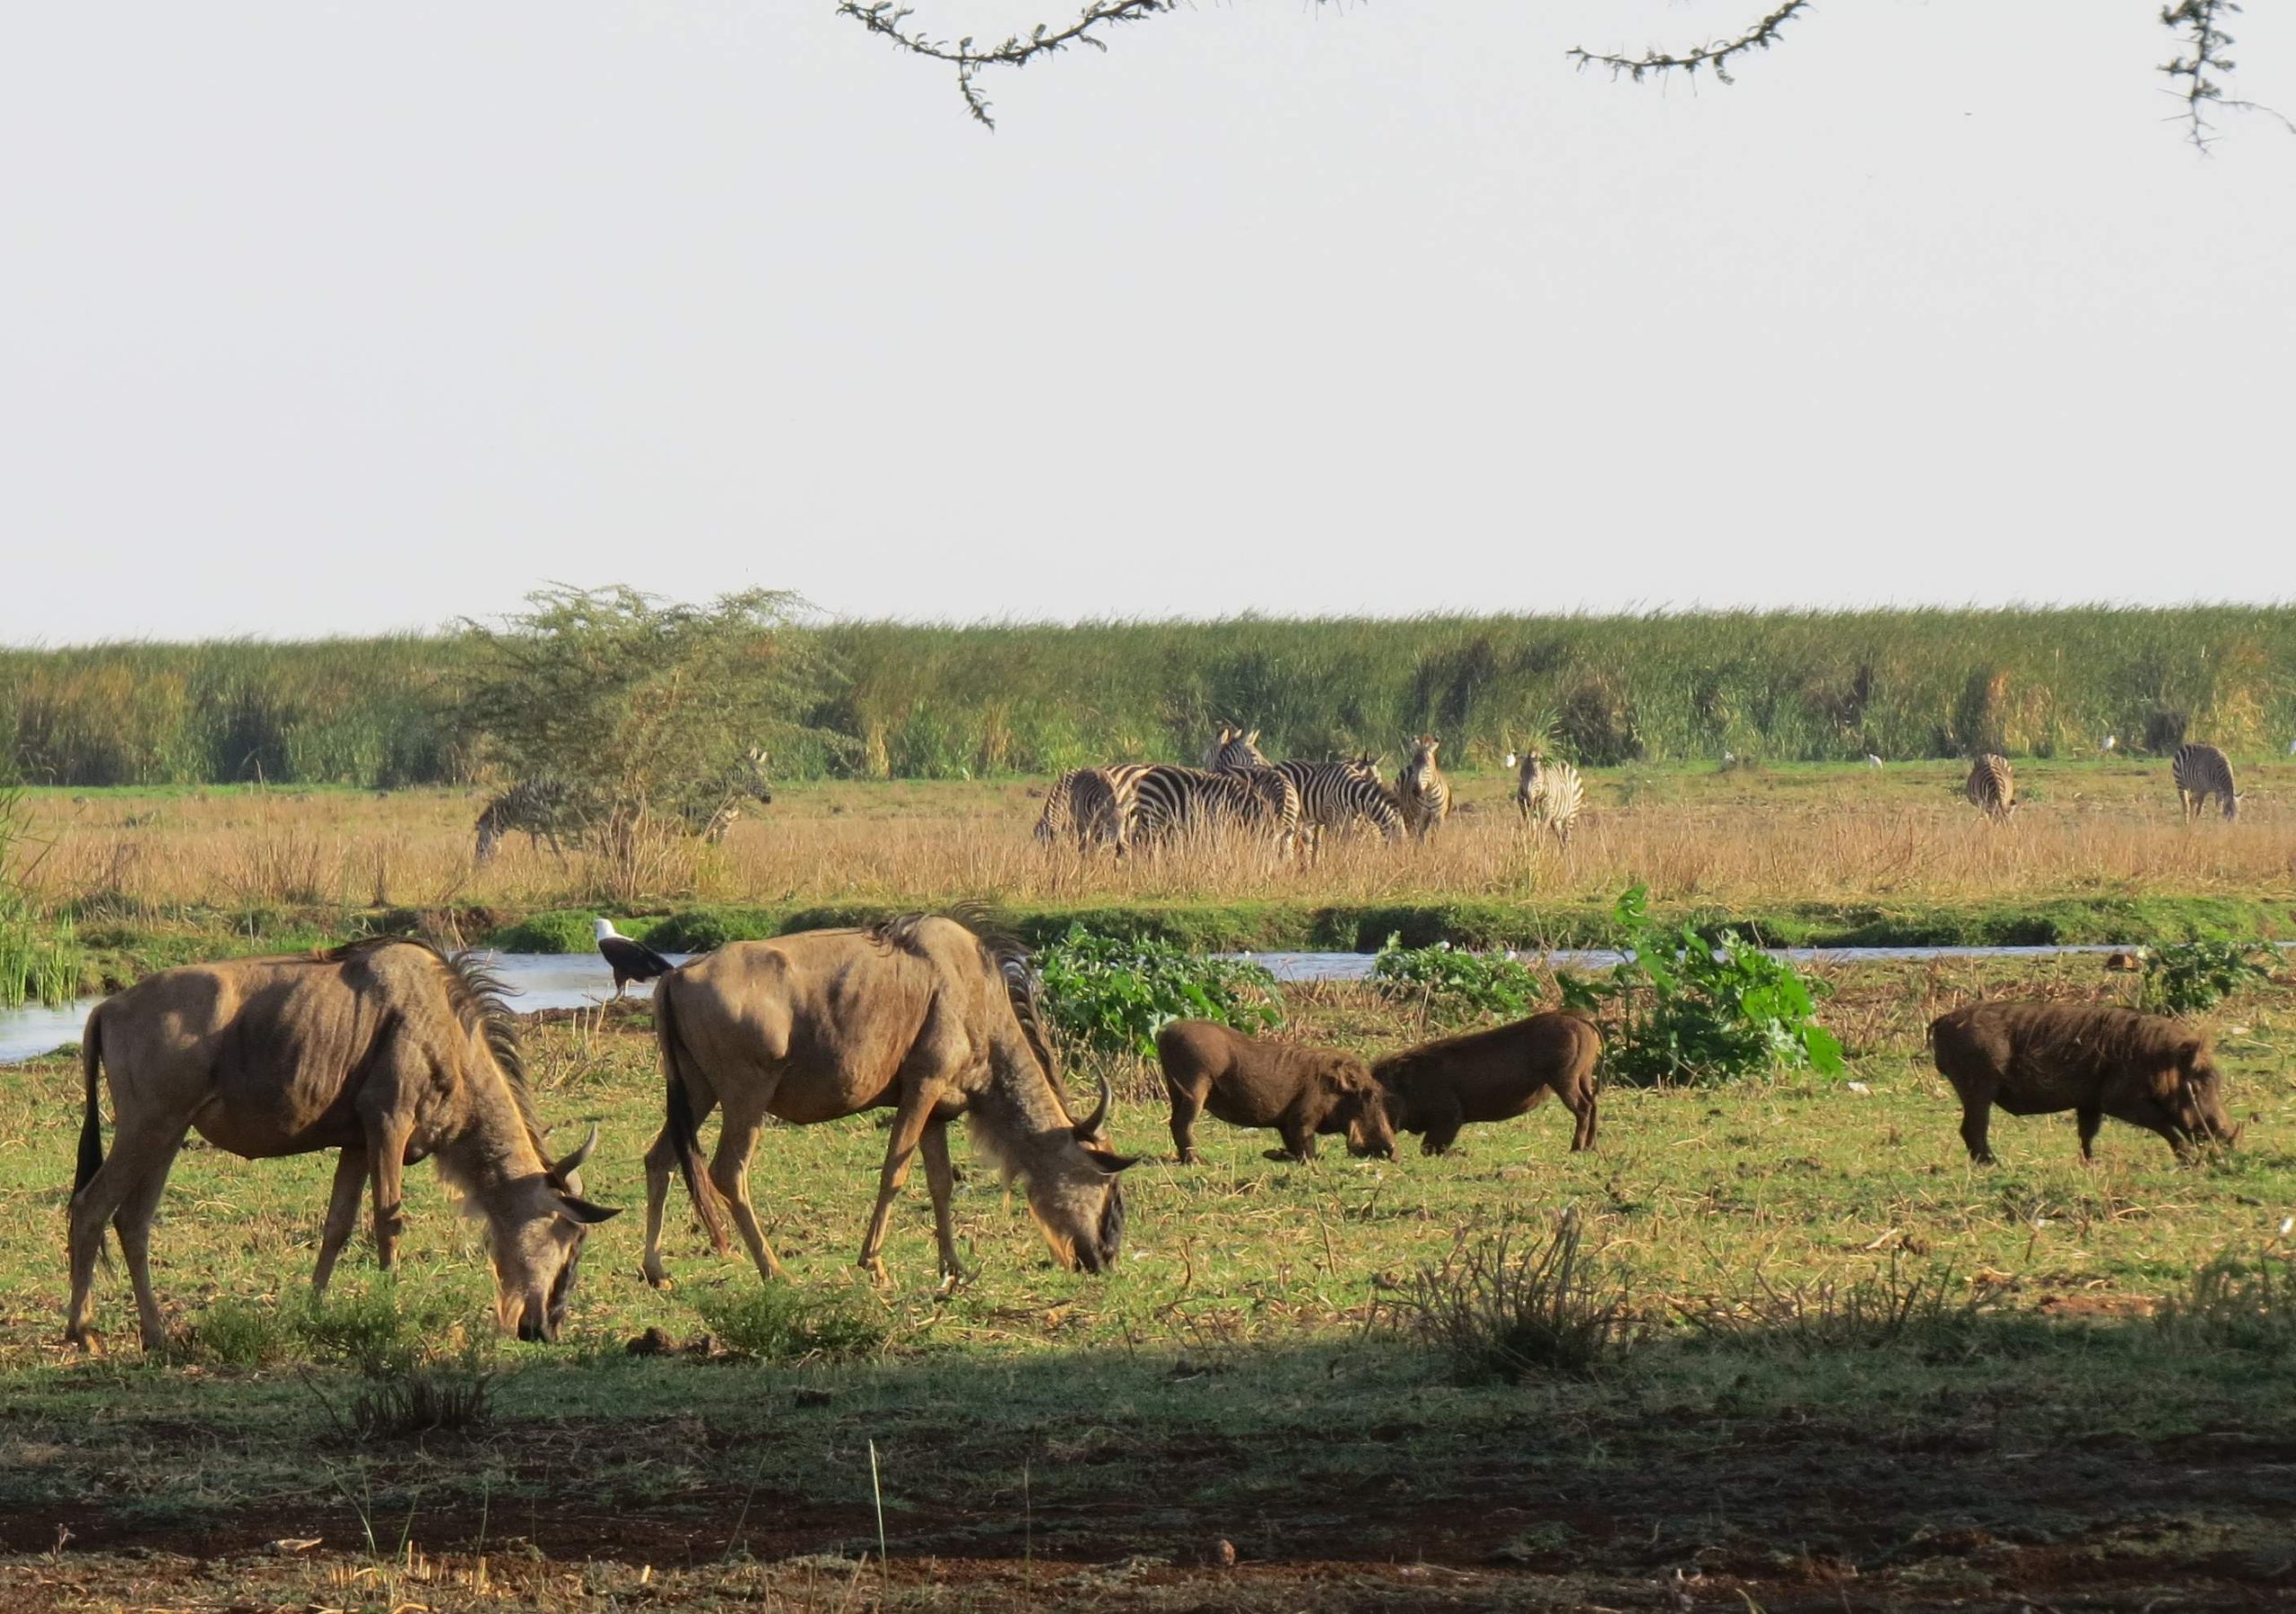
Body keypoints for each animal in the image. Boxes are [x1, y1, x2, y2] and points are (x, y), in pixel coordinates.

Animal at [1212, 730, 1405, 854]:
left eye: (1378, 777)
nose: (1399, 861)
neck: (1354, 793)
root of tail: (1278, 765)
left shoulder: (1349, 819)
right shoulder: (1335, 816)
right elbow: (1340, 843)